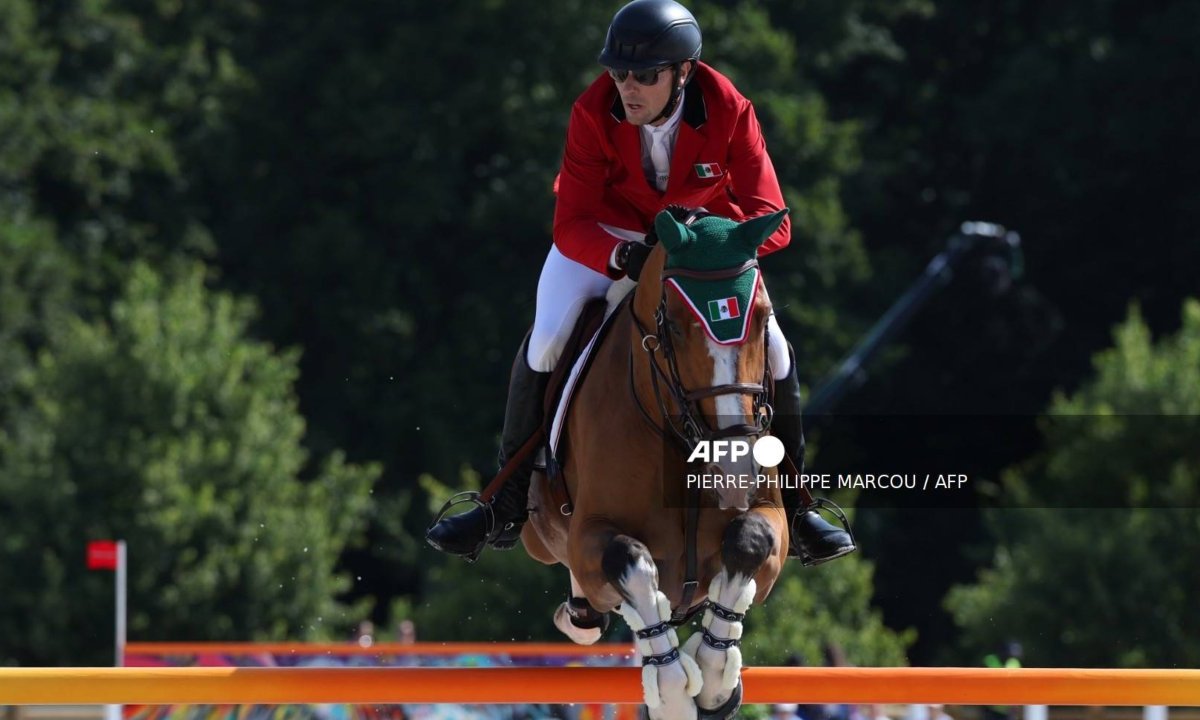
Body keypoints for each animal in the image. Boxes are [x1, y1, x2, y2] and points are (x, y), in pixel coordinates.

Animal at [523, 206, 787, 720]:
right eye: (677, 328)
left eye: (763, 319)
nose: (734, 469)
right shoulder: (589, 536)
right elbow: (627, 559)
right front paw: (670, 691)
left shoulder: (771, 521)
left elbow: (750, 541)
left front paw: (714, 681)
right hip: (538, 537)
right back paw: (582, 615)